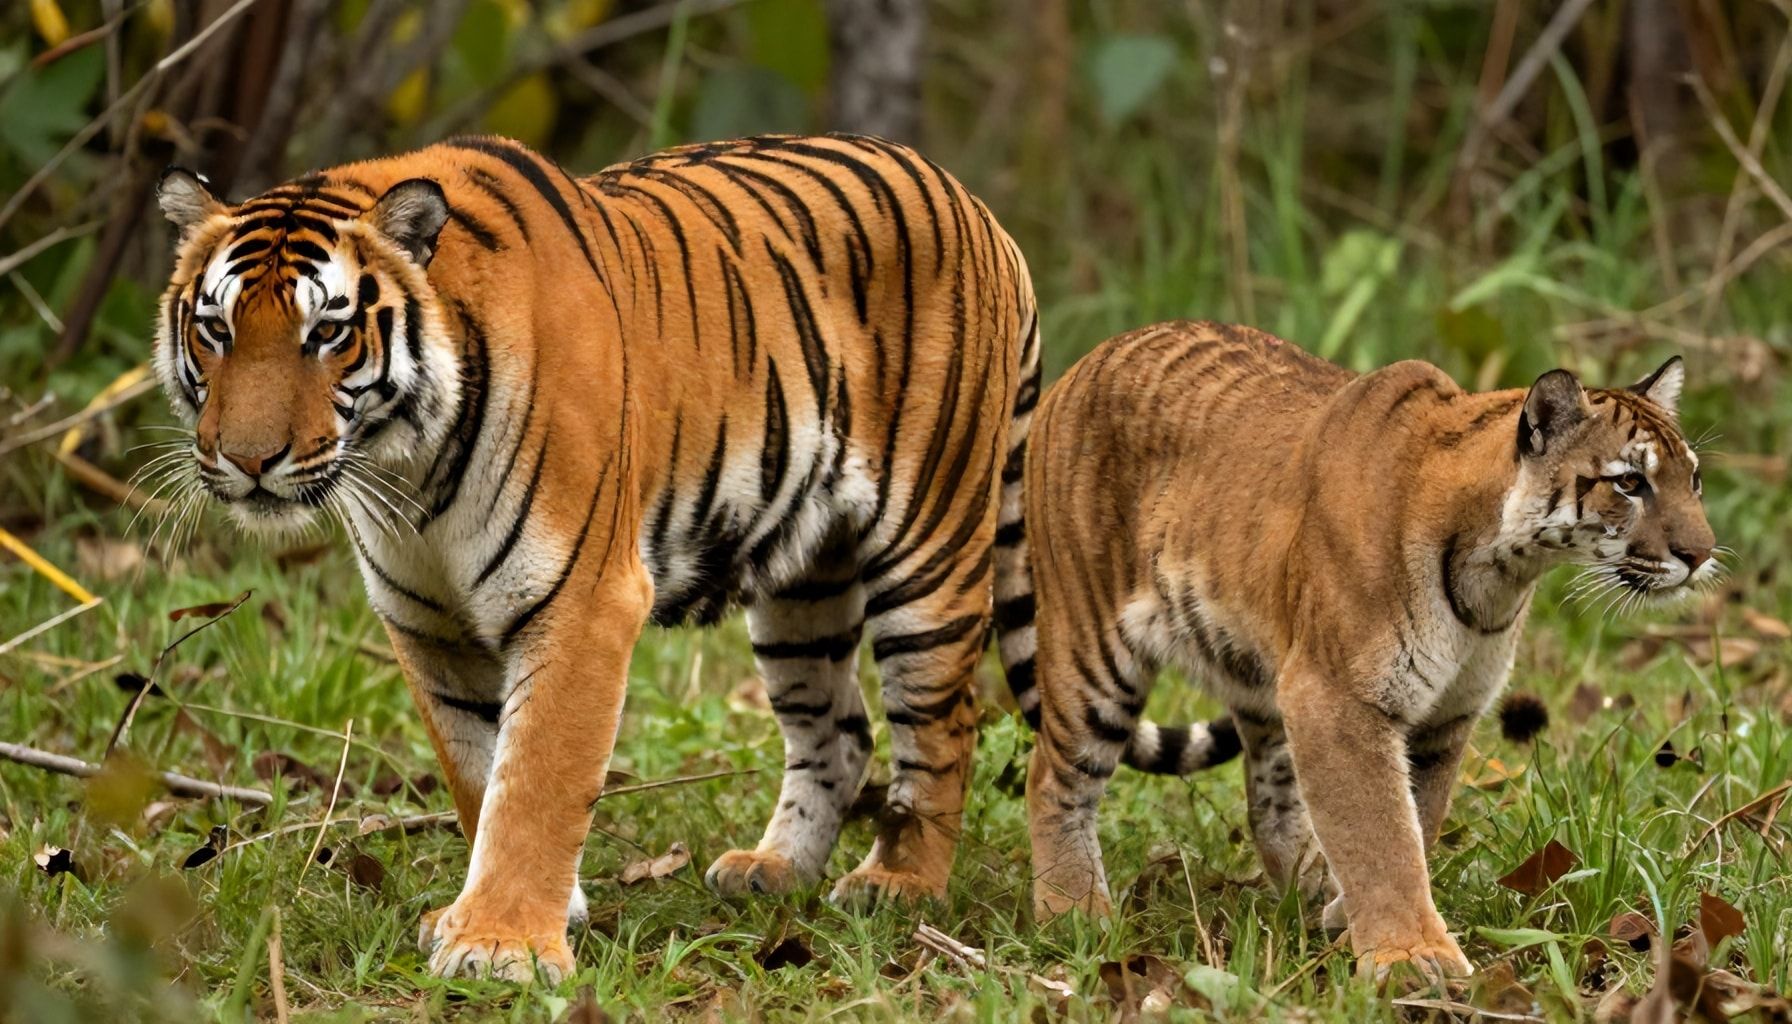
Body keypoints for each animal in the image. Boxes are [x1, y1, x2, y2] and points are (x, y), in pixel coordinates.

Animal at [150, 133, 1038, 983]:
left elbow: (537, 778)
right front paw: (522, 913)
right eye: (217, 330)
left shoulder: (580, 600)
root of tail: (976, 206)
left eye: (326, 332)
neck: (408, 467)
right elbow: (478, 771)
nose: (249, 459)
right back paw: (774, 869)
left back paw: (899, 884)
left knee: (945, 722)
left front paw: (501, 945)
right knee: (841, 730)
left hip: (931, 551)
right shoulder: (429, 624)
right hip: (803, 589)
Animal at [995, 320, 1716, 981]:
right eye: (1629, 483)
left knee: (1271, 803)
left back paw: (1309, 886)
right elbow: (1381, 832)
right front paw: (1412, 956)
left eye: (1695, 480)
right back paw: (1074, 916)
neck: (1499, 572)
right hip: (1093, 649)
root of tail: (1089, 359)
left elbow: (1415, 818)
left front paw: (1356, 919)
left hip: (1260, 676)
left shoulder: (1442, 714)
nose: (1702, 554)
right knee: (1054, 777)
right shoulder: (1341, 697)